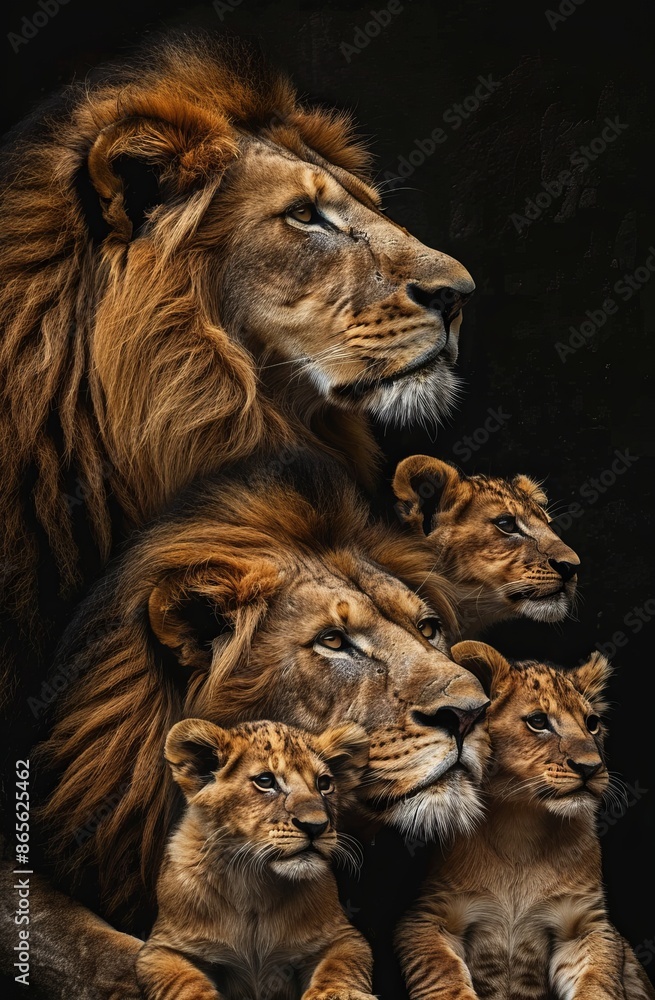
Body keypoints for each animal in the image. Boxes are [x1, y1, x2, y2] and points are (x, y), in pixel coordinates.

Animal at [136, 718, 374, 1000]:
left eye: (324, 784)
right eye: (266, 781)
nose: (316, 826)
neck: (254, 883)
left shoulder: (344, 937)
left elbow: (339, 966)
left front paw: (337, 993)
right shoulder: (160, 948)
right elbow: (183, 981)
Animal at [396, 642, 655, 1000]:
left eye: (592, 723)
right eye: (538, 721)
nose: (590, 768)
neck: (521, 826)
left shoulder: (583, 925)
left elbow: (599, 980)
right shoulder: (428, 916)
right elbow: (440, 971)